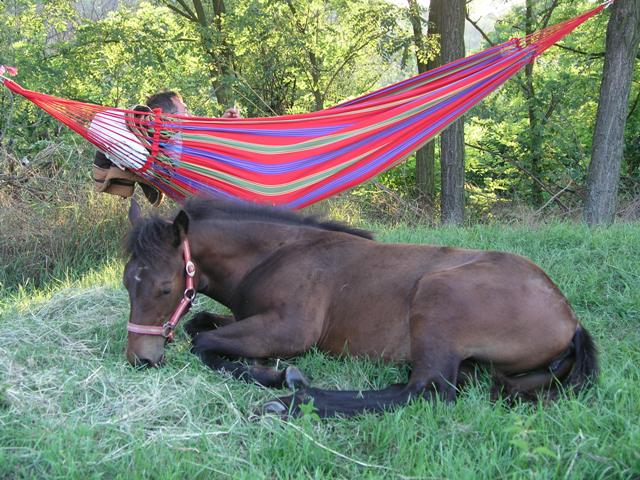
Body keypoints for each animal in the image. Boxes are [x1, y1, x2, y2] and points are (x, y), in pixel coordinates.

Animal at [126, 198, 600, 416]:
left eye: (165, 288)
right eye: (128, 282)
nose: (140, 360)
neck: (275, 255)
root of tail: (569, 317)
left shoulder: (289, 330)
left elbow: (203, 342)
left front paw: (278, 374)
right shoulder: (249, 318)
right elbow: (200, 325)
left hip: (438, 298)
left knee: (425, 391)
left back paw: (293, 400)